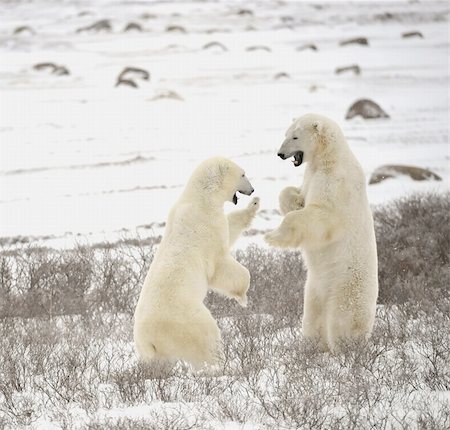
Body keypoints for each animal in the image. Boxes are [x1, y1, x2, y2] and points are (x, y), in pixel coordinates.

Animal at [134, 156, 258, 368]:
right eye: (243, 174)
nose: (252, 190)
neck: (201, 198)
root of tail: (147, 339)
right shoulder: (209, 228)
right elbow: (222, 265)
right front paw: (243, 296)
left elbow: (231, 226)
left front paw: (255, 205)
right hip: (186, 321)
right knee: (206, 338)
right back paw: (219, 362)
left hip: (155, 351)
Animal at [266, 114, 378, 352]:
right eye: (286, 133)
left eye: (295, 136)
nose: (280, 154)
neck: (328, 157)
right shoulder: (311, 174)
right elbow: (297, 194)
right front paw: (293, 203)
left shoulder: (336, 181)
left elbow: (324, 215)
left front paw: (272, 237)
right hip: (313, 289)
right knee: (312, 318)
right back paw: (311, 347)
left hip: (346, 288)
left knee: (341, 321)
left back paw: (345, 349)